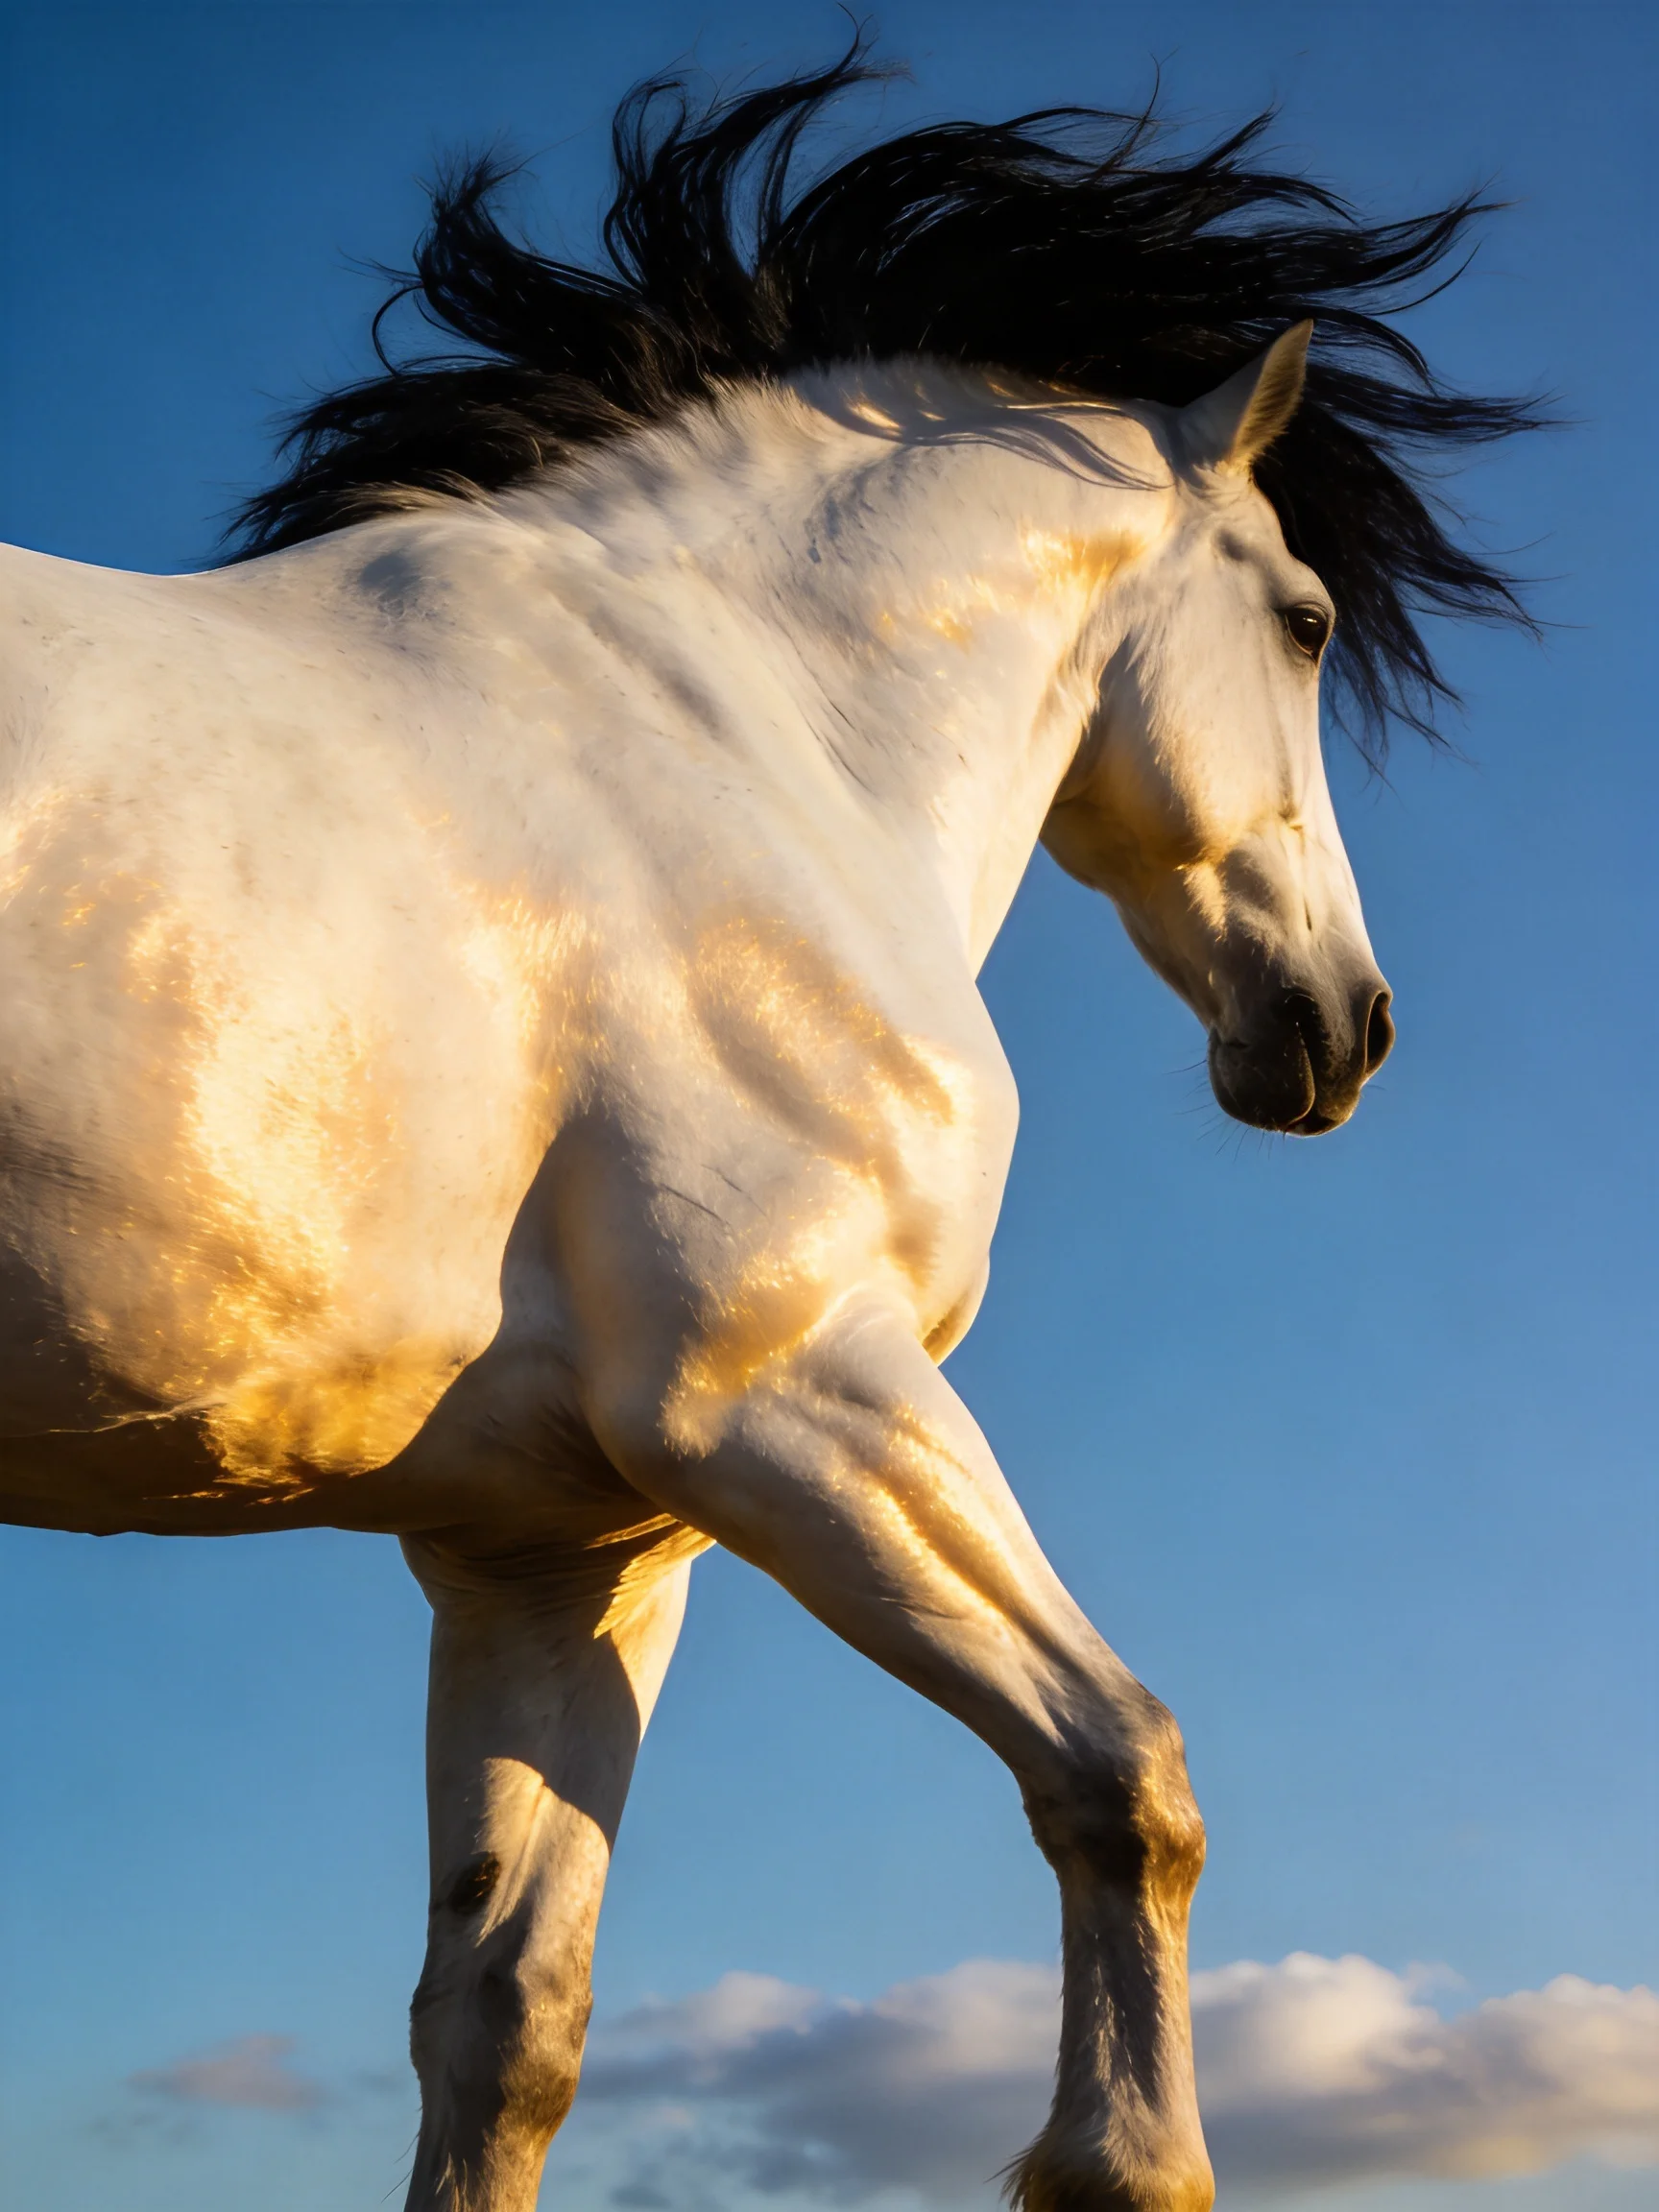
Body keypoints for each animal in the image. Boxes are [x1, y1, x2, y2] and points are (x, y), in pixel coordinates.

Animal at [0, 52, 1534, 2212]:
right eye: (1308, 621)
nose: (1338, 1029)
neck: (748, 748)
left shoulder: (558, 1545)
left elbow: (503, 2025)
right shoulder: (790, 1394)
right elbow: (1123, 1772)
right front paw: (1120, 2154)